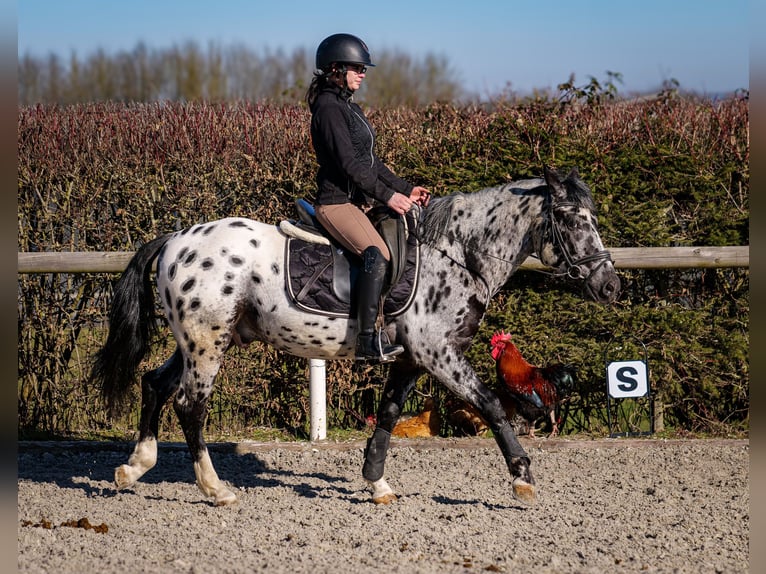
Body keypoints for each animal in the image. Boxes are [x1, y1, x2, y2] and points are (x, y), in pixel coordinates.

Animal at [90, 165, 620, 508]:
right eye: (572, 220)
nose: (608, 286)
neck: (458, 253)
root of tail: (177, 239)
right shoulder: (439, 353)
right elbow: (491, 404)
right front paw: (523, 478)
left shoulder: (410, 358)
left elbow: (387, 413)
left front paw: (376, 483)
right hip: (207, 340)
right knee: (190, 406)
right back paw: (215, 490)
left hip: (198, 341)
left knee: (155, 384)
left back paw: (133, 467)